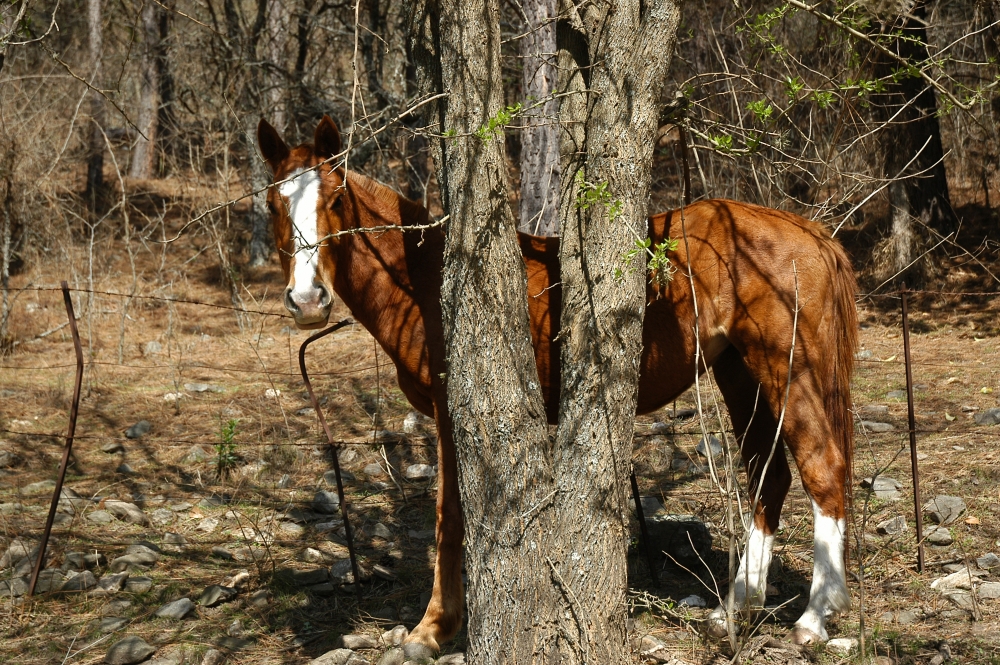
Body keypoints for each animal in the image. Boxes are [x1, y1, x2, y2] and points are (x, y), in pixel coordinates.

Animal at [260, 116, 860, 652]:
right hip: (739, 373)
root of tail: (809, 233)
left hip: (789, 370)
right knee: (768, 476)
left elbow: (449, 519)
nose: (308, 301)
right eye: (272, 204)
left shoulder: (455, 412)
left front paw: (433, 629)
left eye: (335, 200)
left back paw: (814, 619)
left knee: (823, 472)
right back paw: (736, 607)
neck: (426, 275)